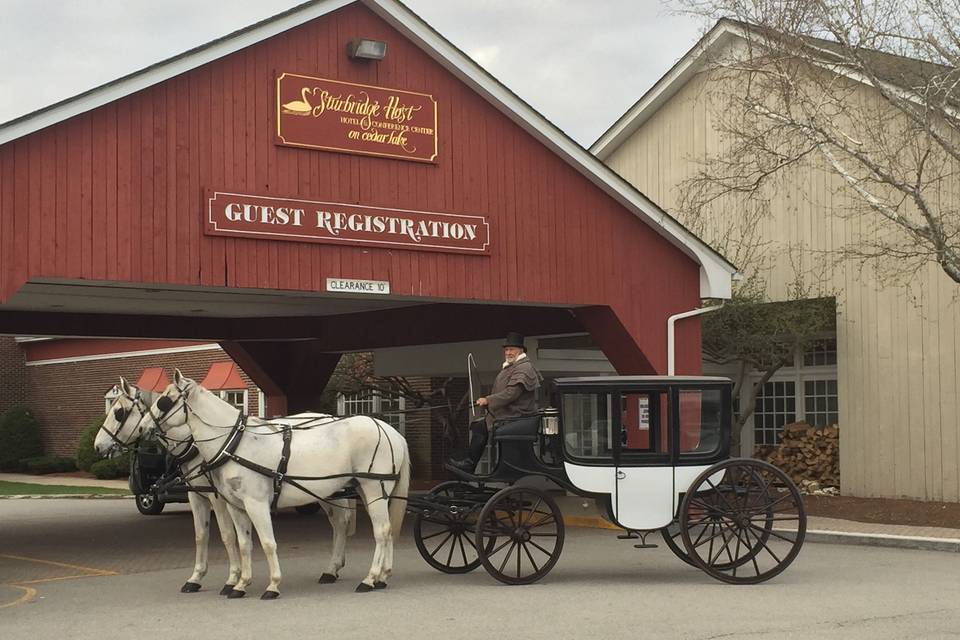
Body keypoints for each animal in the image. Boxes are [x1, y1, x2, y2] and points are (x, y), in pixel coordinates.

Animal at [94, 380, 352, 596]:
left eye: (118, 413)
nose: (97, 446)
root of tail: (329, 417)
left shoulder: (218, 498)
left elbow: (228, 536)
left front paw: (232, 579)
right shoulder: (197, 497)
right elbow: (201, 535)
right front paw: (196, 577)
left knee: (340, 522)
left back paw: (332, 568)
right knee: (338, 523)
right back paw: (333, 568)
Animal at [141, 368, 410, 596]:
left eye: (165, 400)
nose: (144, 427)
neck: (234, 443)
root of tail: (390, 430)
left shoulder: (255, 503)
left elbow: (267, 543)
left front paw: (272, 585)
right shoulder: (236, 505)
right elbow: (243, 543)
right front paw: (240, 584)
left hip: (374, 488)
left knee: (381, 530)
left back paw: (370, 578)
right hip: (366, 489)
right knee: (380, 529)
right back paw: (381, 576)